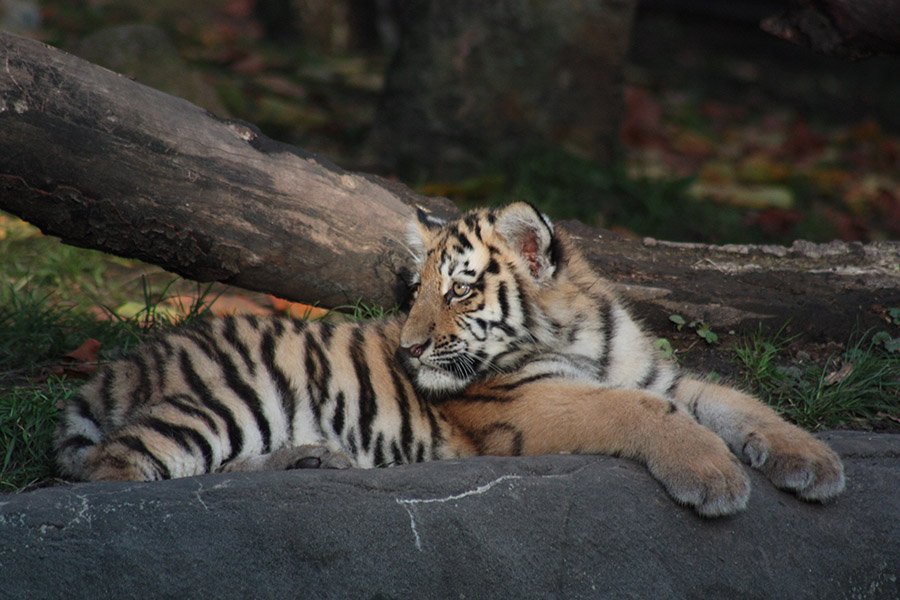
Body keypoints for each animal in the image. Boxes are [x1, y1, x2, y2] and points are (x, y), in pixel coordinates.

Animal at [55, 202, 845, 517]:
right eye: (415, 291)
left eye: (459, 290)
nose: (408, 346)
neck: (579, 336)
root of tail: (117, 369)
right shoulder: (531, 407)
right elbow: (643, 412)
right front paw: (714, 478)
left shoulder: (661, 373)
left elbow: (740, 402)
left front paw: (815, 462)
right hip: (230, 399)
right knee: (116, 474)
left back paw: (313, 460)